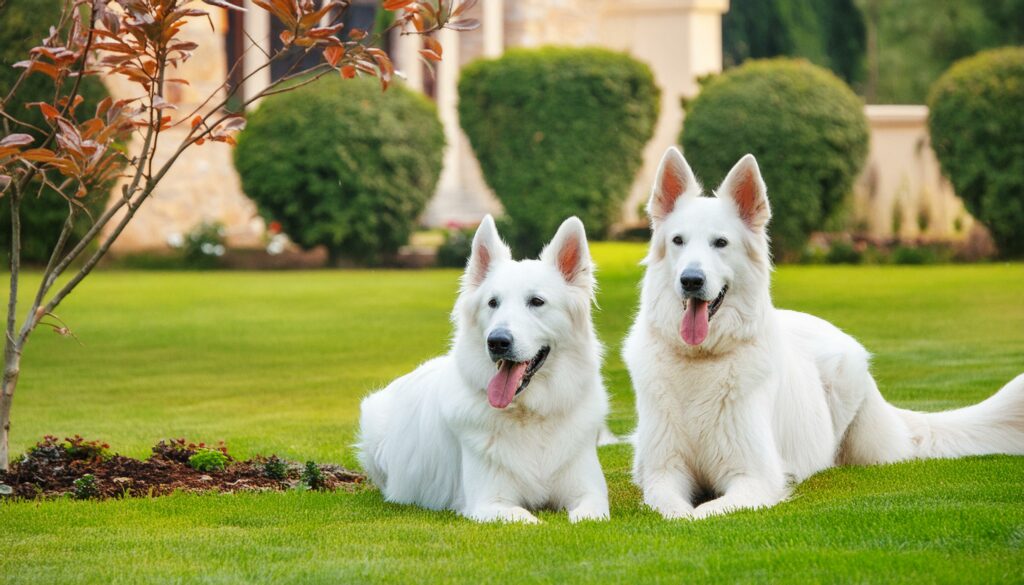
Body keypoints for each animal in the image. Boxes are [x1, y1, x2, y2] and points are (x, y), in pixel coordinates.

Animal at [356, 216, 610, 524]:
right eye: (493, 303)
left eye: (536, 302)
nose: (497, 342)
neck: (529, 415)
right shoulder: (489, 502)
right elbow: (530, 520)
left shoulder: (590, 493)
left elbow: (587, 516)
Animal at [622, 146, 1024, 522]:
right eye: (678, 241)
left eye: (720, 243)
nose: (691, 280)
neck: (702, 360)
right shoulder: (663, 472)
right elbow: (672, 509)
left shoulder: (755, 477)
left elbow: (707, 512)